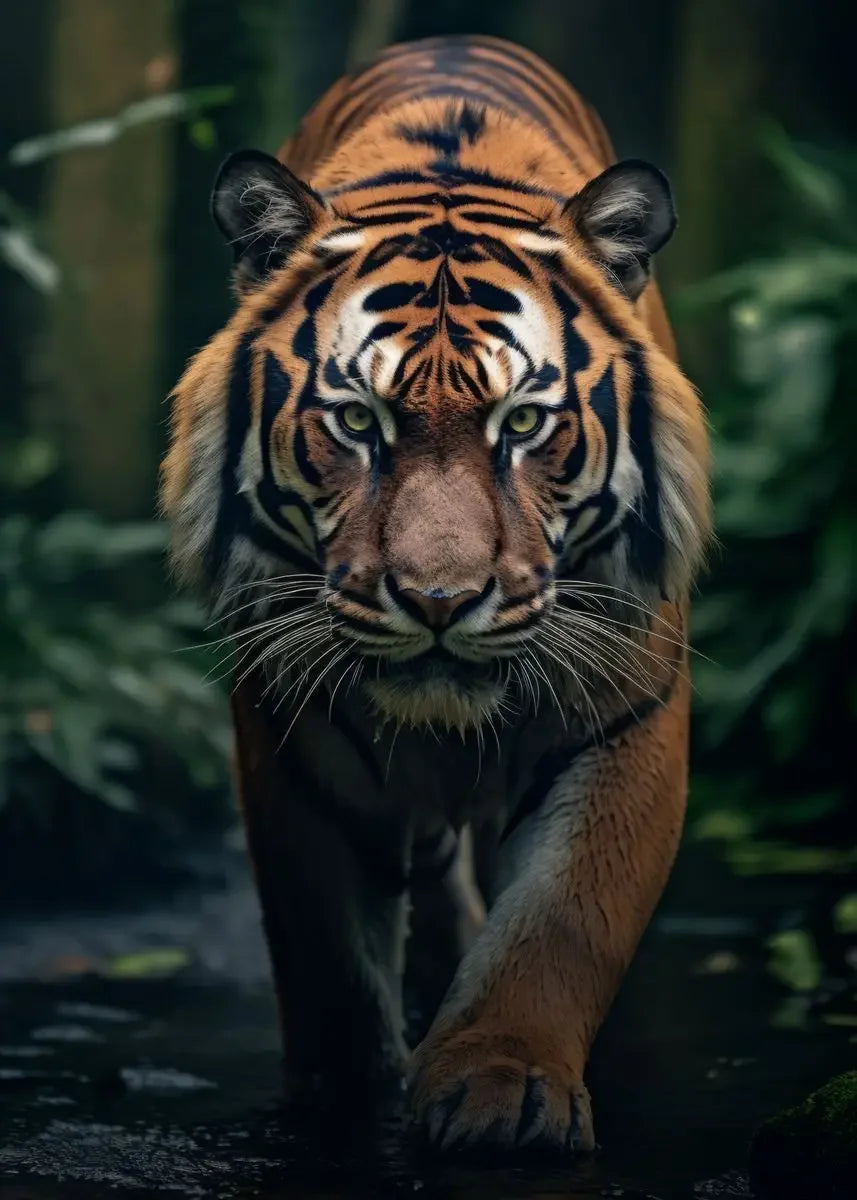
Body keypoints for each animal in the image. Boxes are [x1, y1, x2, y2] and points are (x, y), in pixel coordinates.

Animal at [161, 34, 710, 1155]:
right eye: (356, 421)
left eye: (523, 423)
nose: (439, 600)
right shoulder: (292, 736)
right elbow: (325, 952)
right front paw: (342, 1099)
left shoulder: (624, 717)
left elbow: (560, 921)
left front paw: (502, 1090)